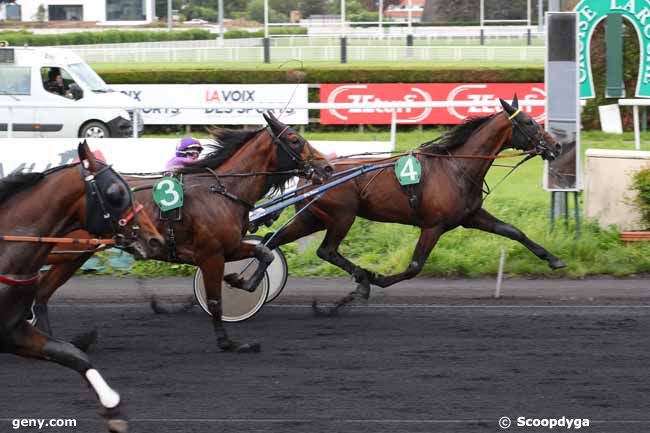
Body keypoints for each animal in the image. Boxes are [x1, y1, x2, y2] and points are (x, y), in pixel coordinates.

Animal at [33, 111, 332, 352]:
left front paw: (241, 281)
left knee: (42, 294)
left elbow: (264, 253)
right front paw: (229, 342)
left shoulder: (230, 247)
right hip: (61, 250)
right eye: (294, 139)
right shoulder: (211, 254)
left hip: (73, 256)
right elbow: (215, 301)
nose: (327, 166)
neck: (223, 191)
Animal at [249, 96, 560, 310]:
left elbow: (513, 231)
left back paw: (252, 280)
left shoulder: (471, 216)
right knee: (326, 250)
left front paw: (554, 259)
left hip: (311, 217)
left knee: (271, 240)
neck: (456, 167)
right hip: (342, 215)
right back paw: (361, 280)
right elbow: (414, 266)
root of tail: (312, 174)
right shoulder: (433, 225)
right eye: (529, 122)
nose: (556, 145)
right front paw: (377, 278)